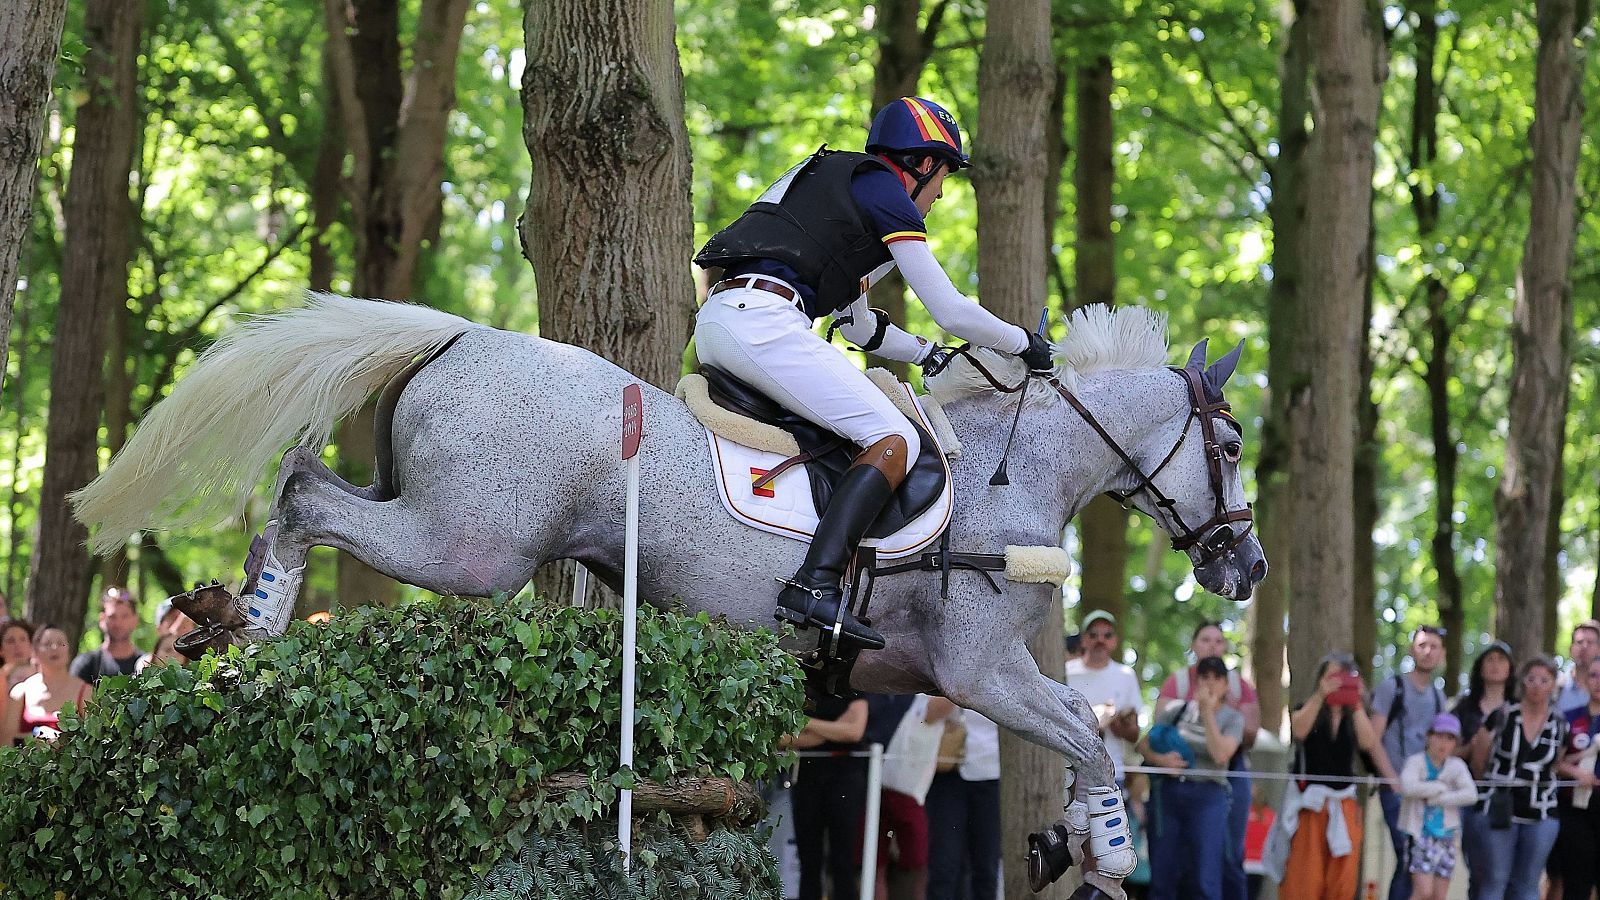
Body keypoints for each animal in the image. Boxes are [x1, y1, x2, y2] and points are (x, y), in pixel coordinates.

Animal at [75, 293, 1267, 890]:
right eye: (1232, 446)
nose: (1245, 568)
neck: (1006, 476)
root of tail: (459, 334)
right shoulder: (974, 672)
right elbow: (1088, 729)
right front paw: (1109, 848)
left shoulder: (966, 672)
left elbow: (1081, 727)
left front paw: (1078, 842)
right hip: (470, 545)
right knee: (301, 497)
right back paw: (254, 625)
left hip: (425, 507)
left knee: (312, 483)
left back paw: (231, 619)